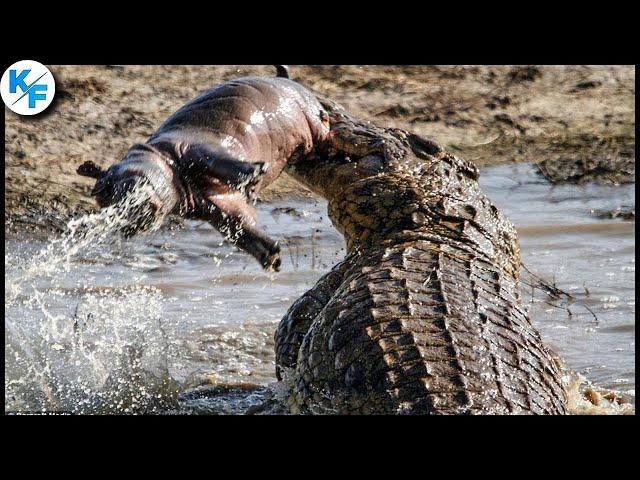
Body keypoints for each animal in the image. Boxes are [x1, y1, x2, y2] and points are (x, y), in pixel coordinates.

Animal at [77, 66, 330, 270]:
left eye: (105, 185)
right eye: (100, 196)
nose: (121, 222)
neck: (159, 157)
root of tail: (281, 77)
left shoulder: (191, 147)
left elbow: (217, 160)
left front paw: (254, 175)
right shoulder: (209, 203)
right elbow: (239, 225)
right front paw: (272, 256)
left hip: (310, 115)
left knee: (321, 129)